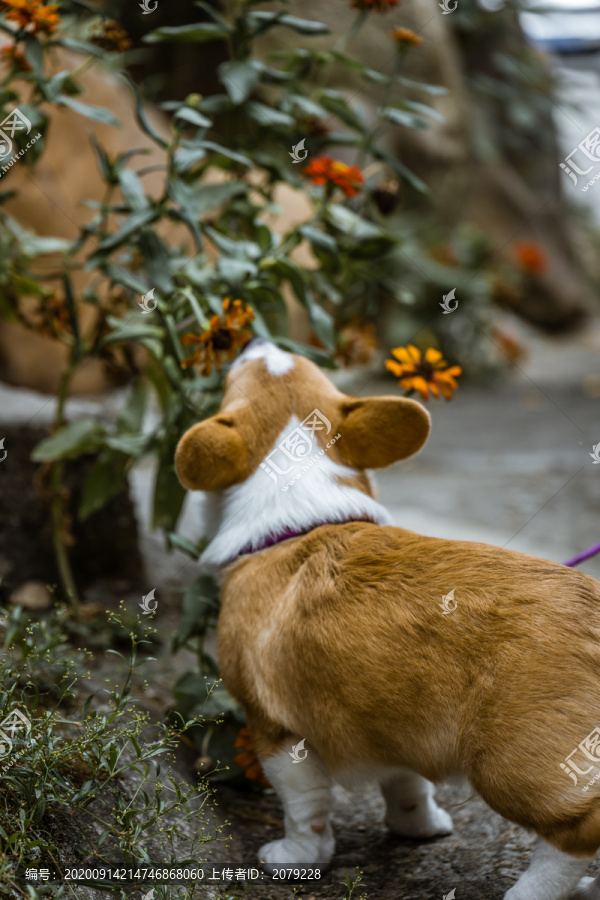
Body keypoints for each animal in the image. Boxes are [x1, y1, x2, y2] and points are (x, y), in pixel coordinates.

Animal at [176, 340, 600, 900]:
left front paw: (297, 856)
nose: (258, 342)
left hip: (514, 765)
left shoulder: (275, 731)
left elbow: (304, 807)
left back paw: (533, 891)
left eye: (237, 375)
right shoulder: (392, 721)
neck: (302, 512)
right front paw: (418, 827)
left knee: (575, 834)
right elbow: (407, 784)